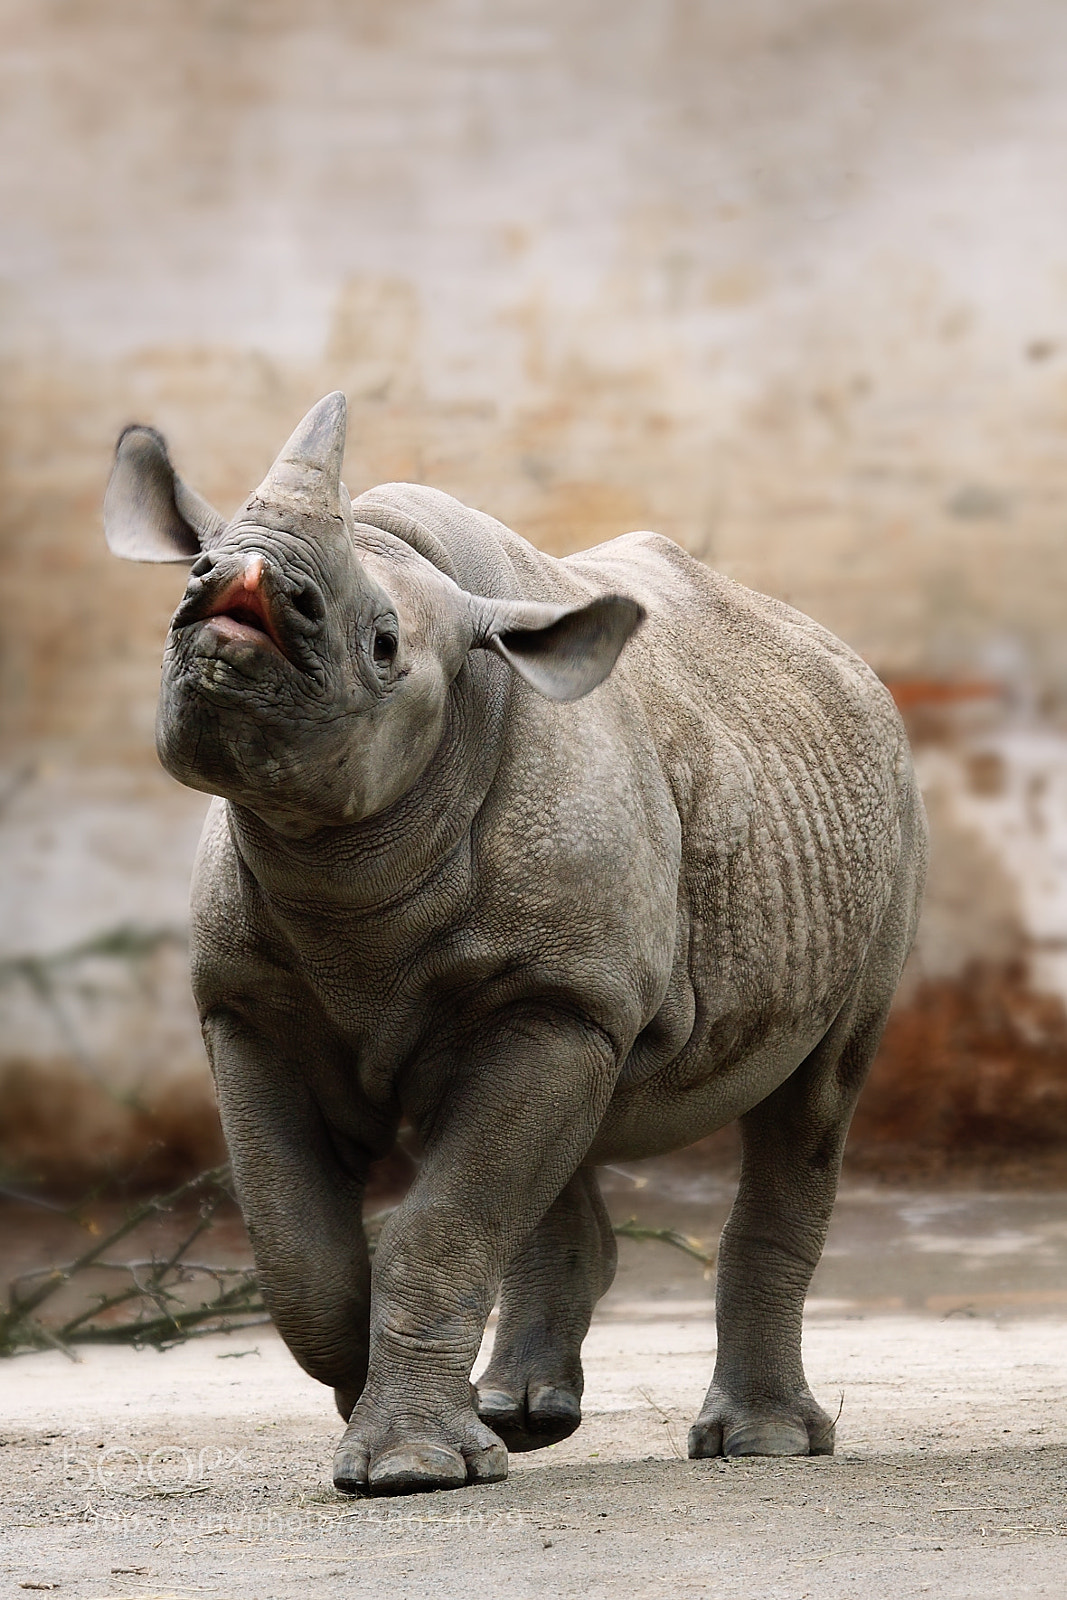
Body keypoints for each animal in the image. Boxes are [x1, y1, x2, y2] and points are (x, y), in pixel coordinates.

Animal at [103, 391, 926, 1497]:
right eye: (195, 569)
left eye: (384, 644)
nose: (239, 582)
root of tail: (849, 664)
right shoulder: (248, 1007)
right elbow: (301, 1248)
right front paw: (378, 1405)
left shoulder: (557, 992)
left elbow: (442, 1223)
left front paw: (407, 1465)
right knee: (567, 1127)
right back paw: (521, 1416)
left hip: (886, 816)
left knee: (815, 1095)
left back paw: (761, 1443)